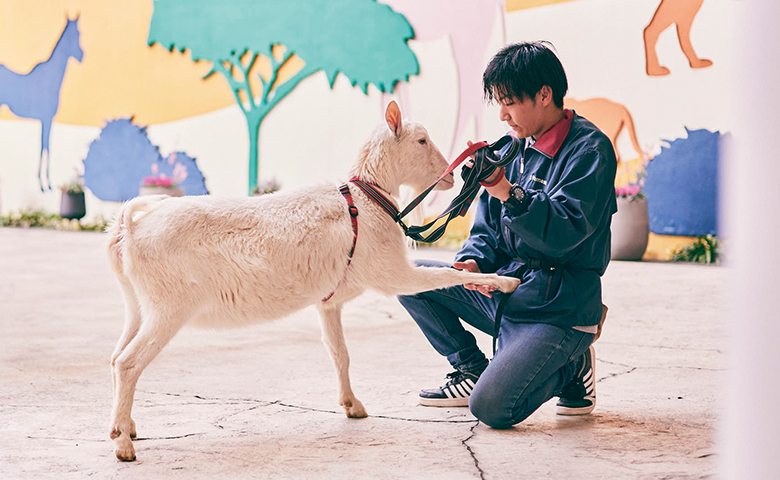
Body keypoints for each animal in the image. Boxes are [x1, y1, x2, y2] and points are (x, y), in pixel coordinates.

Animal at [0, 18, 84, 191]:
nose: (82, 56)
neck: (52, 77)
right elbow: (45, 146)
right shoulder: (47, 118)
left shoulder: (46, 119)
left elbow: (44, 146)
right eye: (76, 33)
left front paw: (44, 183)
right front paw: (45, 184)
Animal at [103, 100, 516, 462]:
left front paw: (353, 406)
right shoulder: (392, 272)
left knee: (115, 355)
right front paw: (501, 283)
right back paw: (124, 445)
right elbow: (443, 274)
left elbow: (339, 353)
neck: (367, 201)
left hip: (137, 305)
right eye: (421, 141)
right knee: (127, 362)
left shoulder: (328, 303)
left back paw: (124, 426)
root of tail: (129, 229)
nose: (451, 175)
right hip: (168, 306)